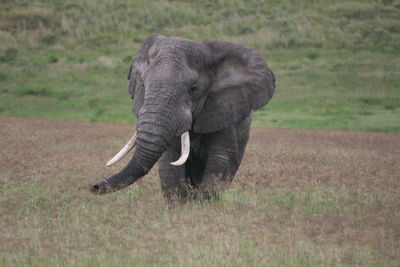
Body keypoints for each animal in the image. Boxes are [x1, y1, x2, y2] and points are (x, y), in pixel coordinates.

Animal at [91, 33, 276, 201]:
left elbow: (220, 159)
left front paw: (202, 205)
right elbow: (170, 164)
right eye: (143, 85)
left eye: (193, 89)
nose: (94, 187)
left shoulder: (226, 109)